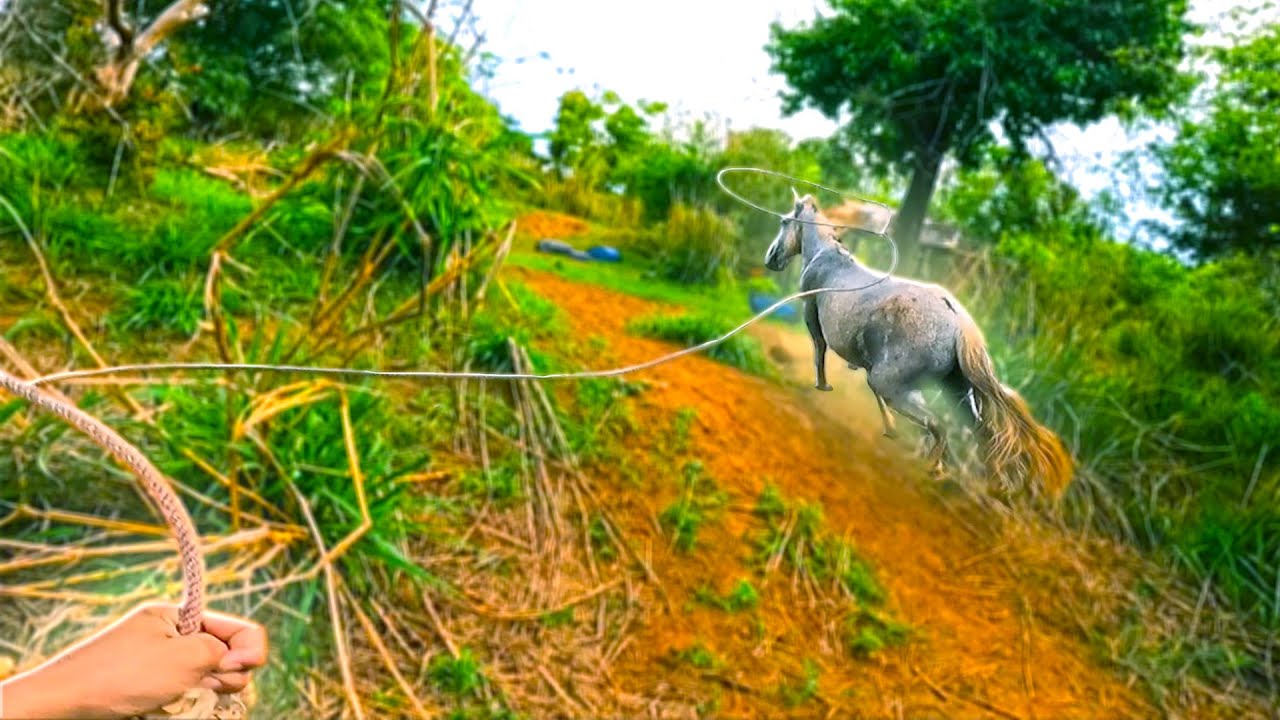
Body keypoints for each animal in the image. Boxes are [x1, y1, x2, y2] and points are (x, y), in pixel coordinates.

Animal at [764, 190, 1073, 497]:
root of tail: (959, 324)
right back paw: (992, 483)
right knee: (981, 431)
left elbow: (819, 349)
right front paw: (889, 427)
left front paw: (822, 385)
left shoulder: (811, 312)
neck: (826, 257)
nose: (770, 258)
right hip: (955, 389)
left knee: (939, 424)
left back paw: (936, 469)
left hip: (899, 386)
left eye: (783, 221)